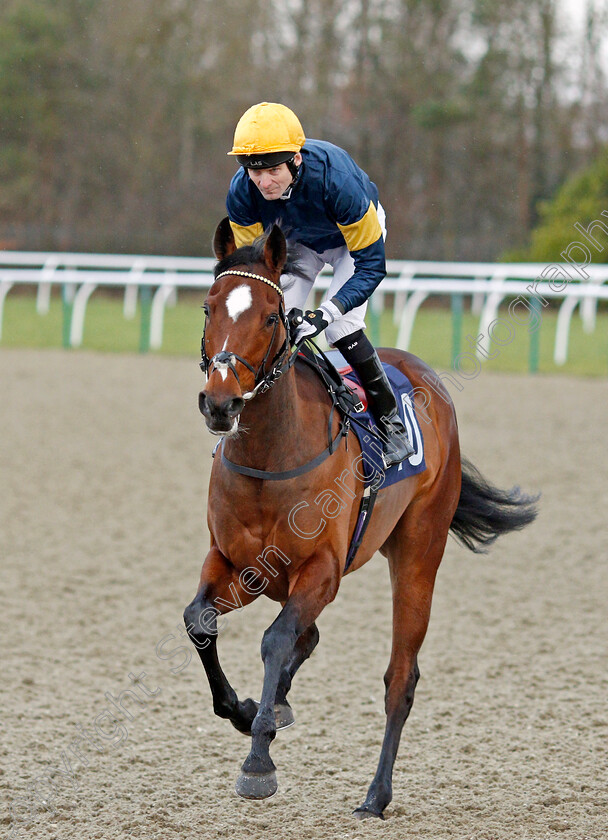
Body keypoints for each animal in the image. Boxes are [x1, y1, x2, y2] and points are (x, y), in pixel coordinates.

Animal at [182, 218, 536, 820]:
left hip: (418, 552)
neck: (269, 458)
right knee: (309, 637)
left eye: (272, 317)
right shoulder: (237, 563)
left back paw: (376, 794)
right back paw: (279, 709)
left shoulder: (322, 570)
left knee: (400, 677)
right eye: (209, 308)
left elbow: (276, 641)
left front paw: (258, 763)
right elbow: (200, 621)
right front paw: (248, 710)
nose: (220, 403)